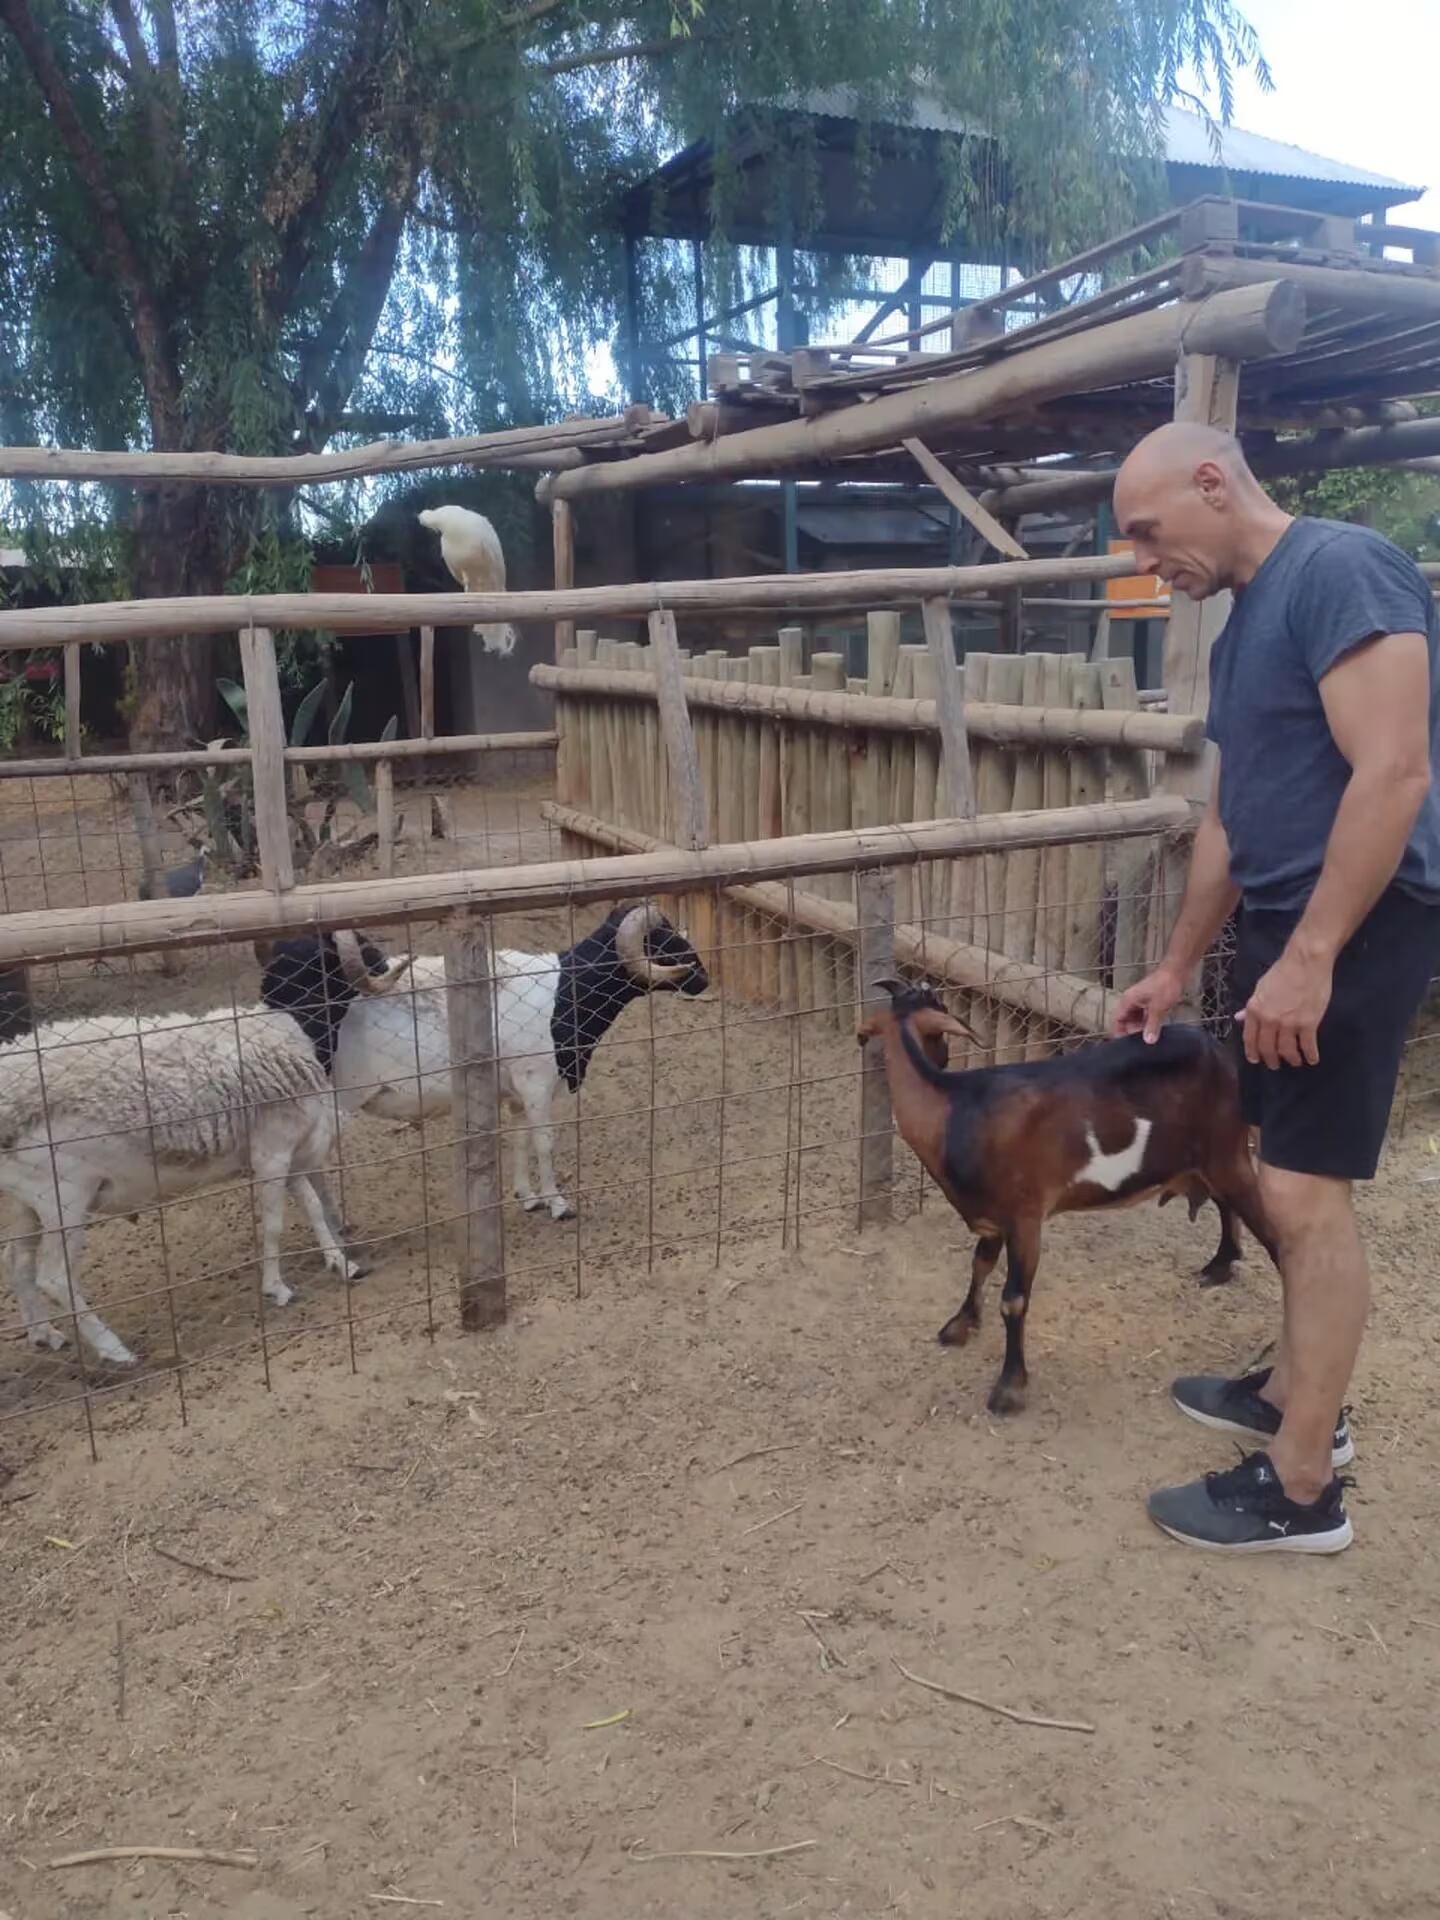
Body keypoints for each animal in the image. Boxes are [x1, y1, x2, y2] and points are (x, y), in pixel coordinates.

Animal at [263, 906, 714, 1221]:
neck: (565, 992)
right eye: (660, 937)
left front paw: (528, 1197)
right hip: (330, 1105)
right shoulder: (536, 1082)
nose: (703, 976)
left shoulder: (517, 1093)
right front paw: (557, 1204)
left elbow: (521, 1140)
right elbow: (545, 1141)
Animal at [856, 983, 1274, 1420]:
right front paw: (960, 1323)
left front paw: (1009, 1388)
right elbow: (980, 1263)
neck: (957, 1111)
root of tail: (1221, 1054)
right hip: (1206, 1160)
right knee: (1225, 1204)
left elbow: (1014, 1300)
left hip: (1227, 1153)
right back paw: (1220, 1265)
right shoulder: (993, 1218)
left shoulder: (1024, 1216)